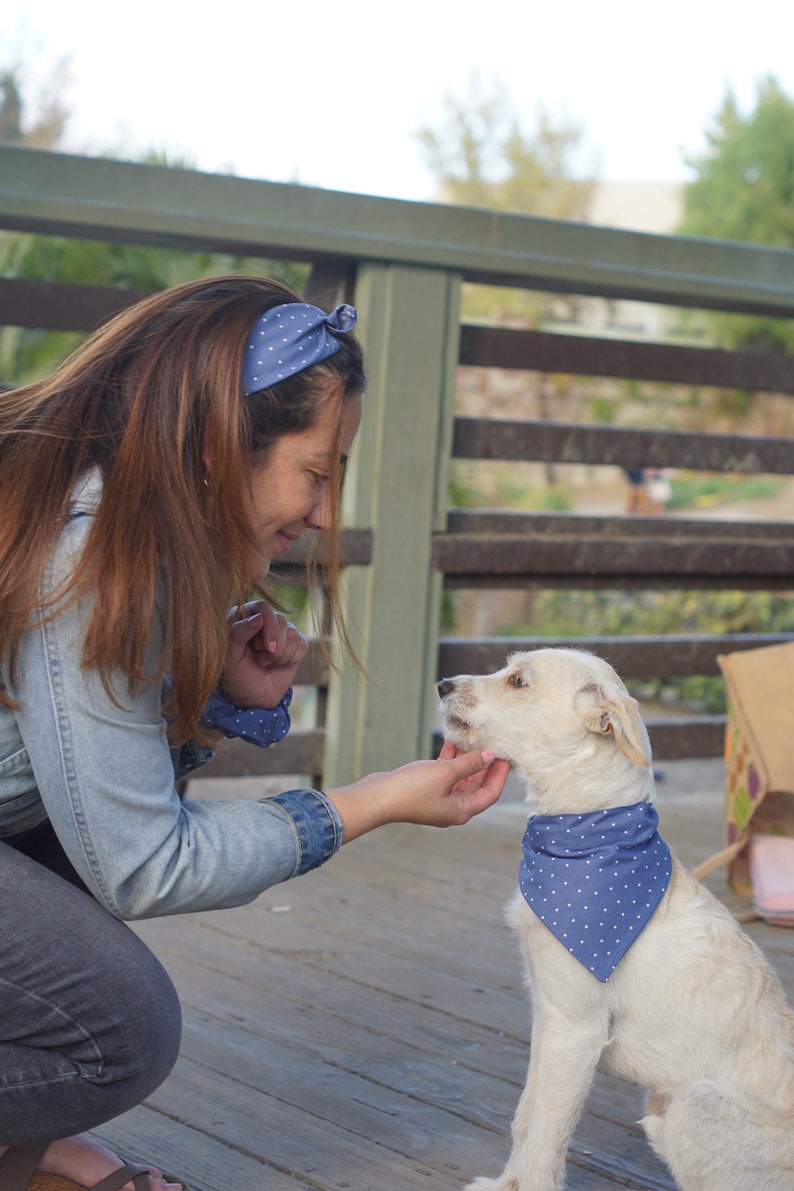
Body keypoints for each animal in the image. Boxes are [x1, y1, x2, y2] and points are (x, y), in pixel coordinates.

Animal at [438, 652, 794, 1191]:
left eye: (518, 681)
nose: (442, 684)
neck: (587, 838)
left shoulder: (576, 1030)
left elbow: (546, 1138)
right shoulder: (548, 1015)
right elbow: (526, 1117)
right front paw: (506, 1184)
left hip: (690, 1104)